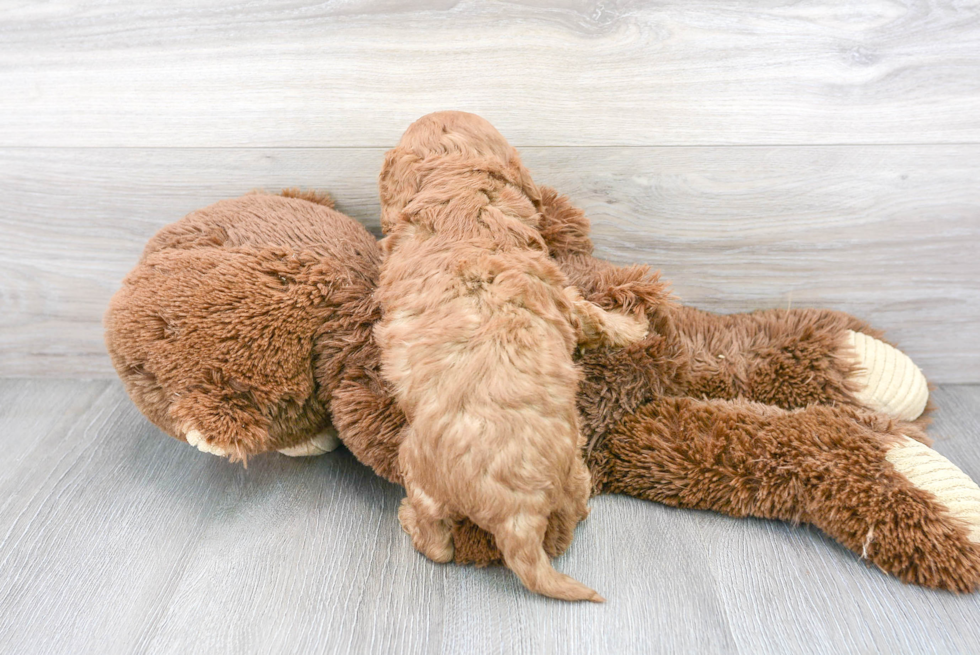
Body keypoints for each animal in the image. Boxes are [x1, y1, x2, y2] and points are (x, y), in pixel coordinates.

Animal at [374, 110, 644, 604]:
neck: (464, 203)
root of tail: (517, 512)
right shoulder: (563, 296)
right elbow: (592, 315)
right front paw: (636, 327)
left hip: (420, 468)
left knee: (439, 544)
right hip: (565, 476)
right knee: (556, 531)